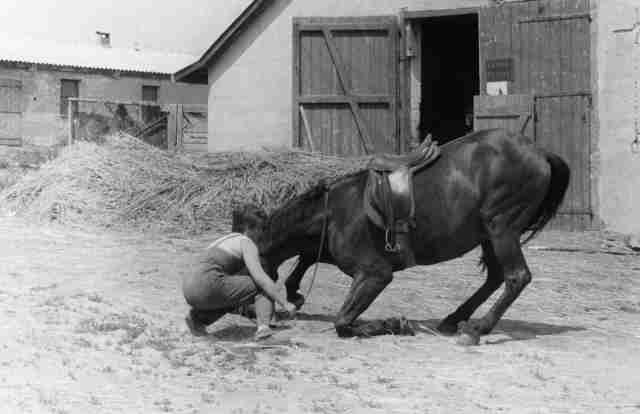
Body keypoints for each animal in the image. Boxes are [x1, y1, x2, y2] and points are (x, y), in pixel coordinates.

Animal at [256, 129, 570, 344]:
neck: (334, 212)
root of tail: (540, 152)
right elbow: (304, 260)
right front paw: (294, 294)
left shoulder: (375, 274)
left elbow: (342, 321)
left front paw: (394, 324)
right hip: (488, 234)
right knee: (495, 277)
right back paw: (454, 319)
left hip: (502, 228)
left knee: (516, 277)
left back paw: (477, 330)